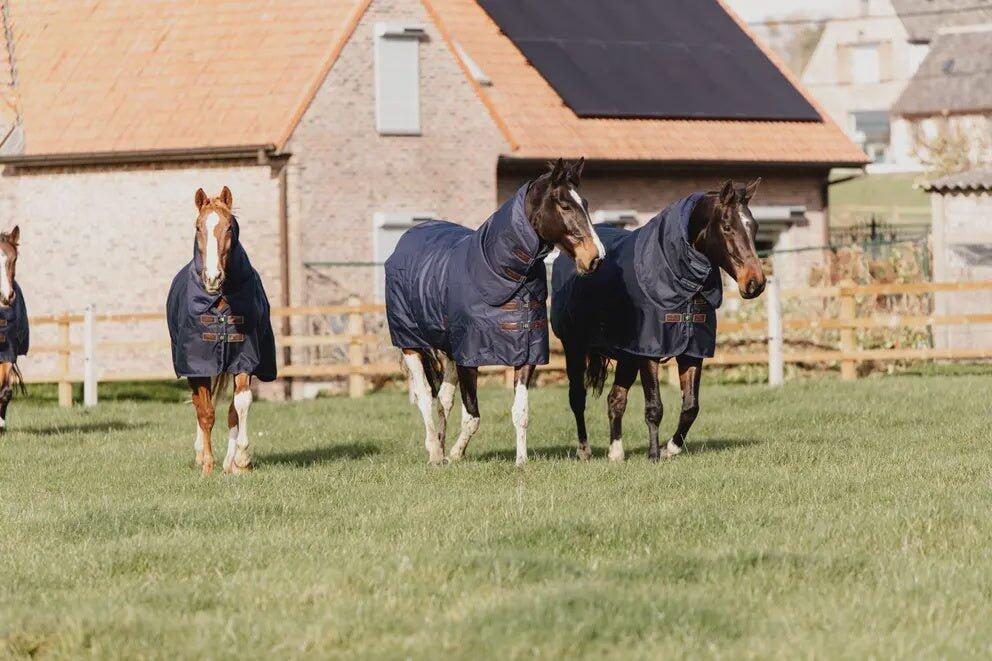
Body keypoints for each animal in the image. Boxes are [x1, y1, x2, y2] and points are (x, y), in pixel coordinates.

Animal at [166, 187, 277, 475]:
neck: (221, 299)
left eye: (229, 227)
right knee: (200, 405)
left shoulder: (245, 357)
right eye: (198, 227)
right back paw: (200, 455)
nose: (212, 277)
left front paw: (240, 460)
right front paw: (207, 464)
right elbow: (205, 412)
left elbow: (239, 405)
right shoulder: (197, 364)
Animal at [385, 158, 604, 466]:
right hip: (410, 343)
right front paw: (455, 454)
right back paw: (435, 452)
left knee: (444, 399)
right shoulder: (469, 356)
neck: (499, 272)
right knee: (425, 395)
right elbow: (472, 417)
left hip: (448, 349)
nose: (596, 257)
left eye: (584, 202)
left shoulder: (526, 354)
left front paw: (521, 462)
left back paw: (440, 445)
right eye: (565, 205)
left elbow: (520, 413)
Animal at [551, 179, 766, 462]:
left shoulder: (691, 352)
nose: (755, 283)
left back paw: (616, 453)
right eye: (728, 227)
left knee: (615, 399)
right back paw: (584, 450)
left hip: (627, 357)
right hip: (574, 348)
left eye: (755, 227)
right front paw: (654, 454)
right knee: (577, 398)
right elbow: (654, 407)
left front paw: (669, 448)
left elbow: (691, 407)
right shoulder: (649, 354)